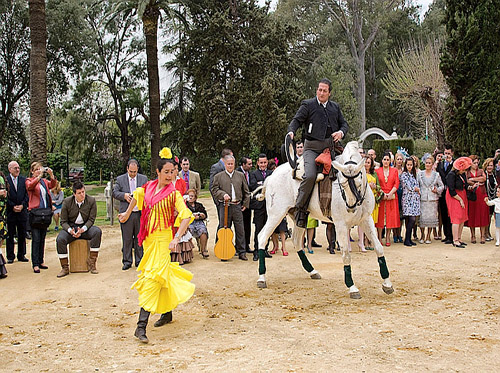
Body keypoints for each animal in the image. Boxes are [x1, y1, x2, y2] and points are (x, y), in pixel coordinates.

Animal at [256, 141, 392, 298]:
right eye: (342, 184)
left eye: (358, 182)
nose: (350, 209)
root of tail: (271, 176)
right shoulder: (340, 225)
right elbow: (346, 254)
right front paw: (352, 287)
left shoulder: (366, 220)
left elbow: (379, 248)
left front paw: (387, 284)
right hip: (276, 214)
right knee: (262, 237)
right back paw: (261, 278)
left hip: (297, 215)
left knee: (296, 241)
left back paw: (312, 271)